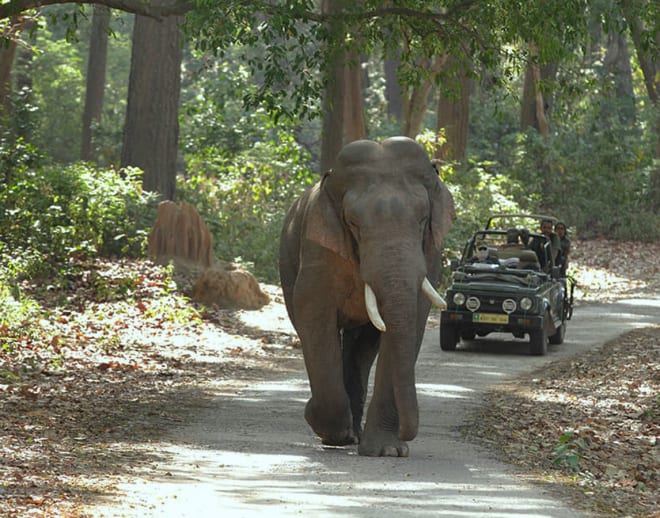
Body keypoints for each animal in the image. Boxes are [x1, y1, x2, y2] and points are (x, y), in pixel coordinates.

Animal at [278, 137, 454, 460]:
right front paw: (321, 423)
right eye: (353, 223)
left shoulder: (430, 253)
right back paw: (345, 433)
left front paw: (387, 451)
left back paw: (355, 433)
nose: (408, 435)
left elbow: (412, 319)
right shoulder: (318, 250)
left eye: (423, 220)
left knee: (361, 348)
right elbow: (314, 316)